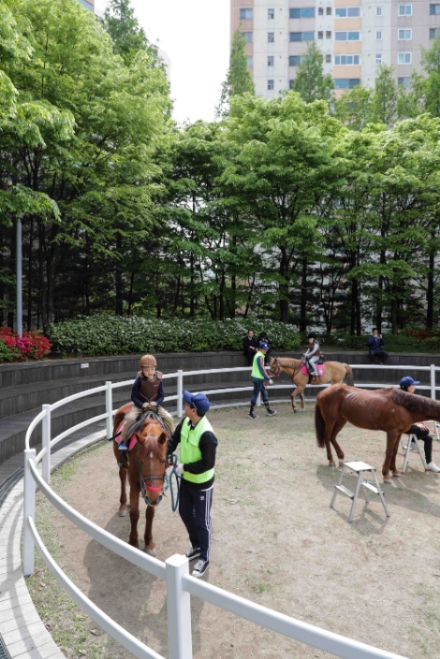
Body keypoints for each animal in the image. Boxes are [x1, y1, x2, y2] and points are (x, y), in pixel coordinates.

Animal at [113, 404, 168, 556]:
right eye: (141, 461)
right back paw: (123, 505)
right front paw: (133, 542)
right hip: (121, 464)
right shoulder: (136, 483)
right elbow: (135, 513)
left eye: (163, 460)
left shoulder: (153, 492)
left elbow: (150, 514)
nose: (153, 497)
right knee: (122, 478)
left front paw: (149, 543)